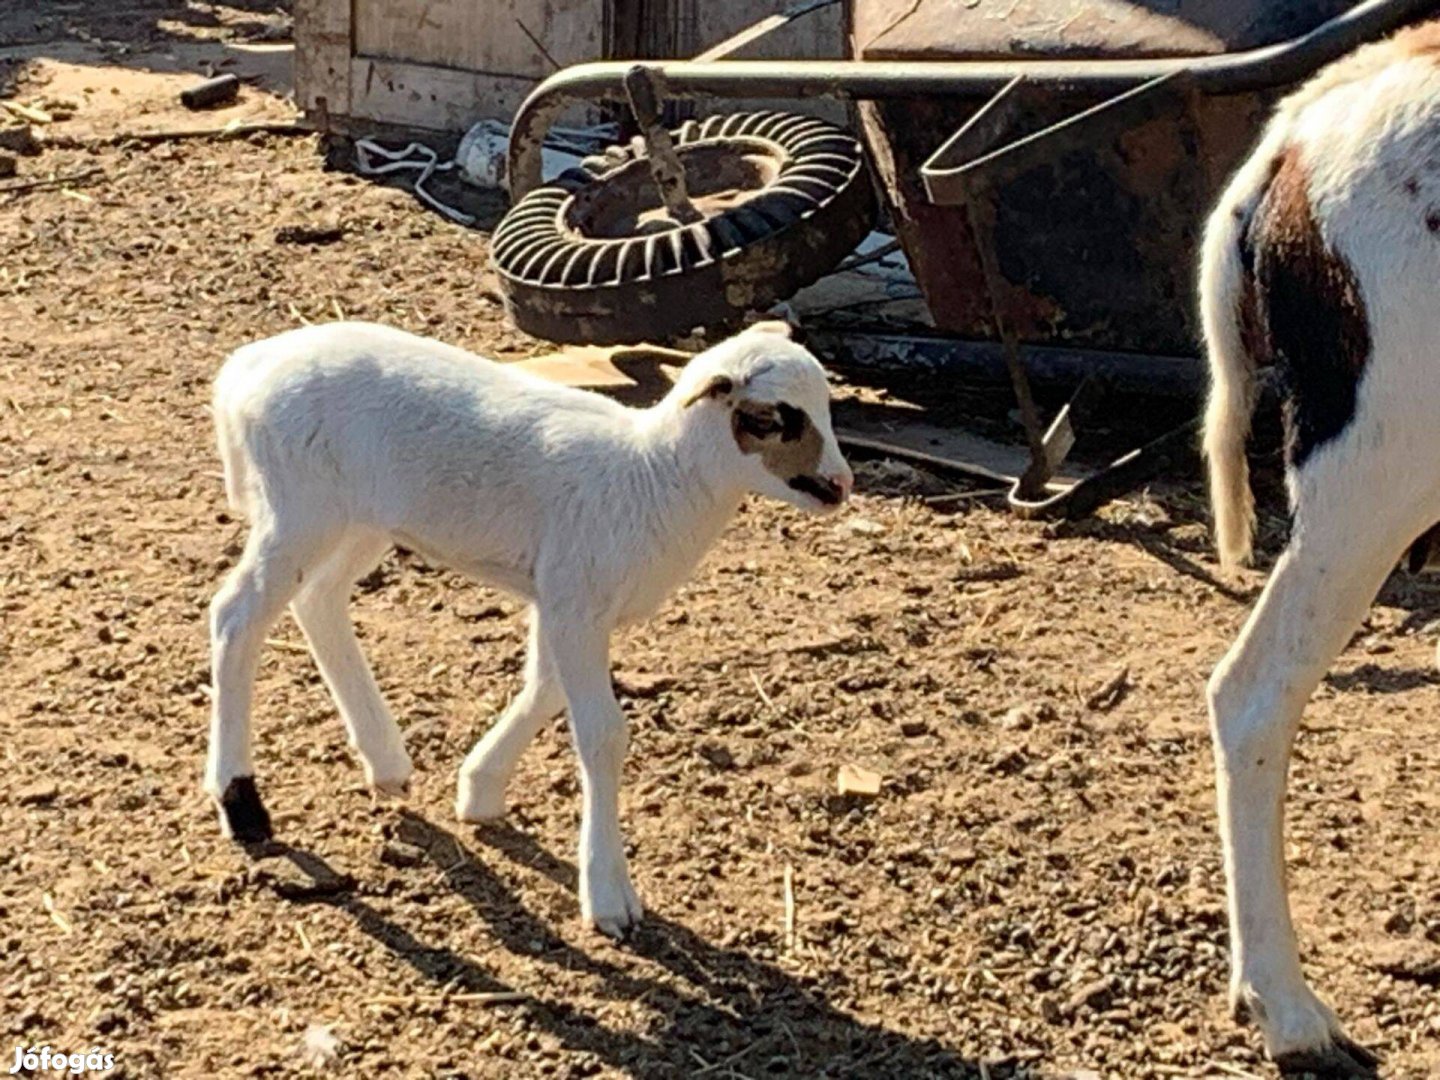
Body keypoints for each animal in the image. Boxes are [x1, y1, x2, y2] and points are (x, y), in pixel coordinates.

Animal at [207, 316, 846, 933]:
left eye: (825, 404)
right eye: (769, 420)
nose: (839, 486)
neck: (651, 475)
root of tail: (248, 366)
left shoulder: (561, 600)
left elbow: (543, 689)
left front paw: (478, 789)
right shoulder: (574, 601)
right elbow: (601, 734)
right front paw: (609, 895)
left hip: (359, 519)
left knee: (317, 601)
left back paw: (385, 761)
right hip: (298, 508)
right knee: (235, 615)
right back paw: (242, 804)